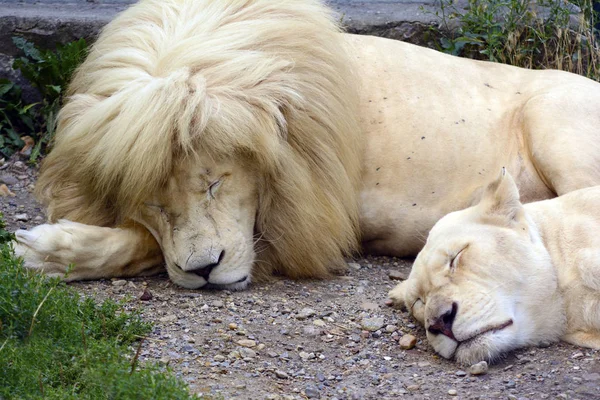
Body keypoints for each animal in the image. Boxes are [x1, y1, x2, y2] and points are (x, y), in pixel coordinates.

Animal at [14, 0, 600, 288]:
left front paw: (44, 249)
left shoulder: (306, 215)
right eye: (153, 203)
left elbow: (150, 247)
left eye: (215, 183)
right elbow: (153, 242)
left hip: (553, 117)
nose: (204, 273)